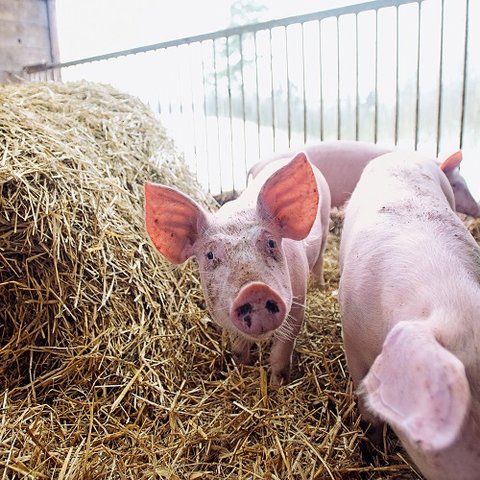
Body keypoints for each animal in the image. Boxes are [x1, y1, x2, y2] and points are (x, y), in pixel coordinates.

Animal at [143, 154, 330, 386]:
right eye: (210, 255)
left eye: (271, 243)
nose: (255, 289)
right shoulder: (225, 320)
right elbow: (239, 350)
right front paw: (242, 369)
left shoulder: (297, 306)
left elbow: (280, 354)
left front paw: (277, 386)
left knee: (321, 259)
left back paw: (320, 285)